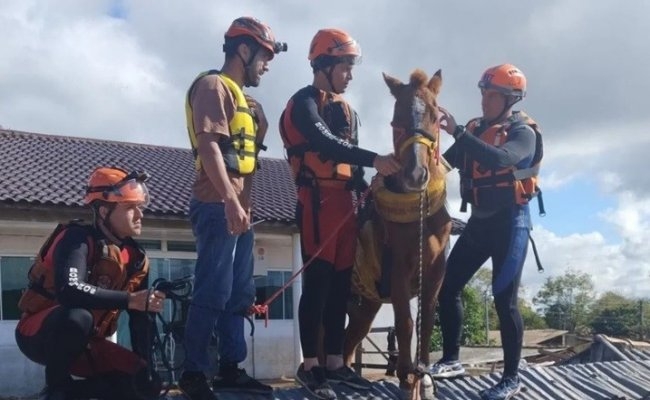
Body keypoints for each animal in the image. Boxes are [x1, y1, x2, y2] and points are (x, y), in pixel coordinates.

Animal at [344, 70, 450, 398]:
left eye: (435, 115)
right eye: (395, 119)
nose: (416, 175)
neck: (419, 214)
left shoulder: (436, 271)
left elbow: (426, 321)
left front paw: (424, 377)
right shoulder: (399, 270)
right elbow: (405, 321)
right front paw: (406, 378)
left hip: (367, 305)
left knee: (350, 339)